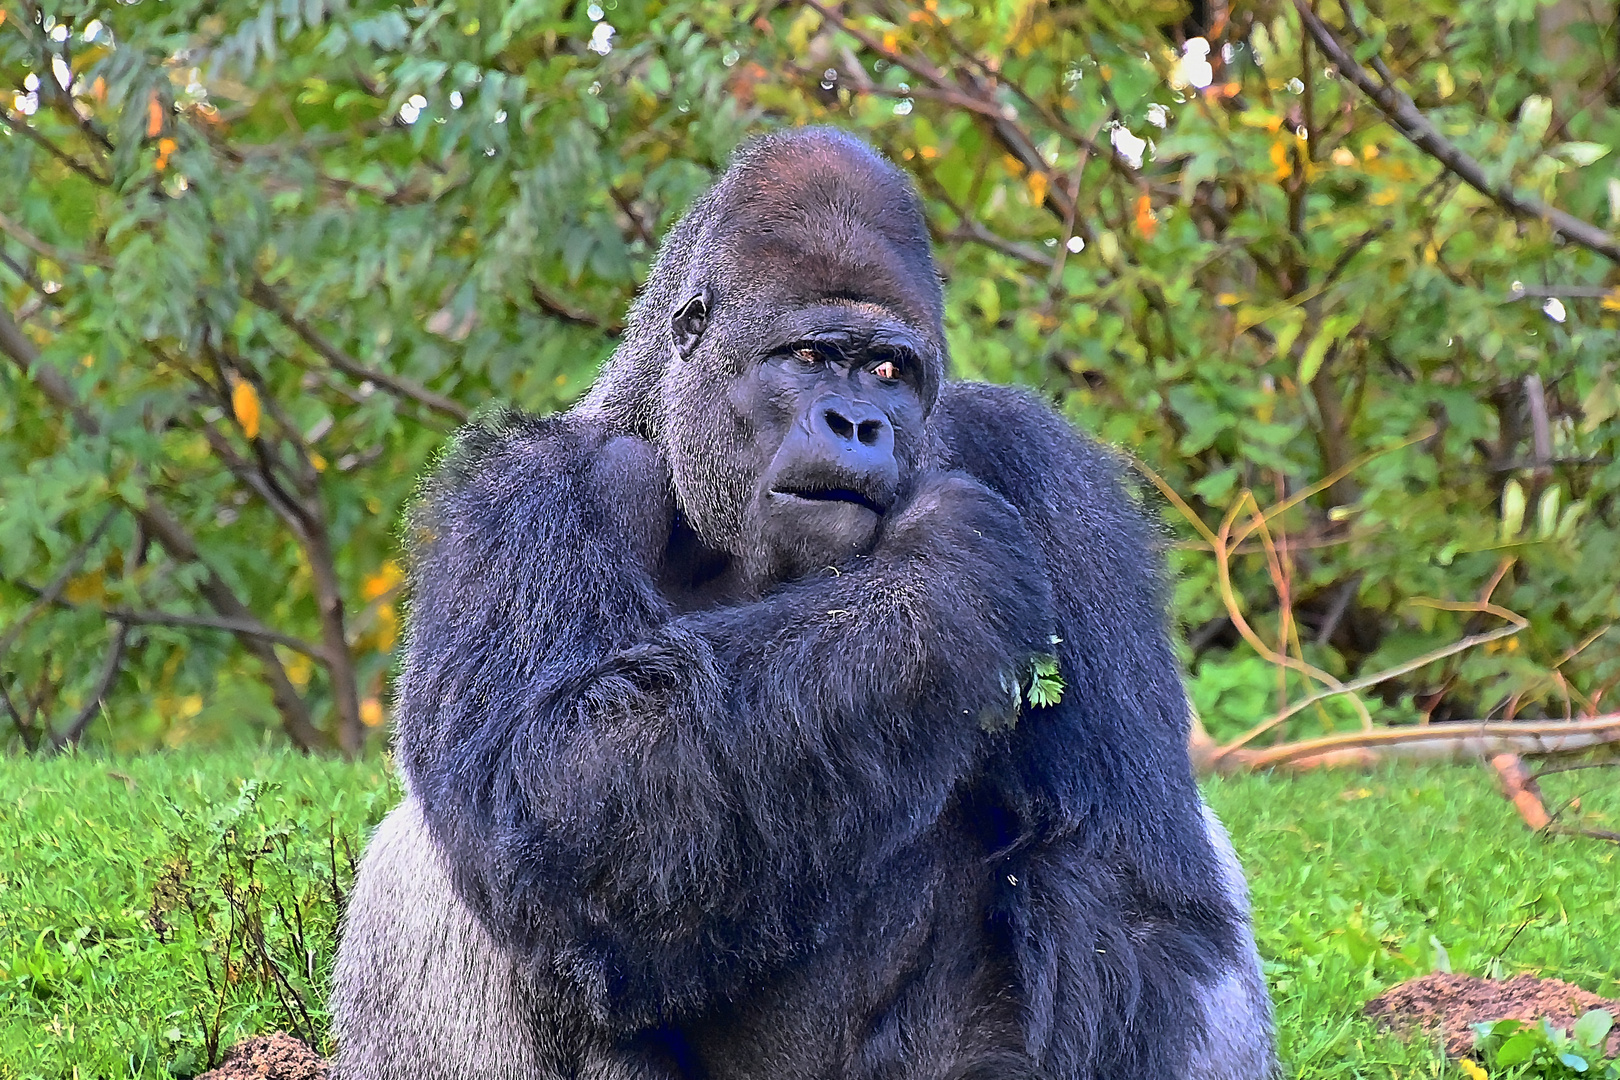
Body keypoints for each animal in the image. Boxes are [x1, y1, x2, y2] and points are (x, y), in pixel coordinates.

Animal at [332, 128, 1276, 1080]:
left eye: (889, 370)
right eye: (811, 357)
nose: (858, 426)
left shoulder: (1048, 470)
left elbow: (1132, 889)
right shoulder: (523, 493)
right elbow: (541, 776)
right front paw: (944, 573)